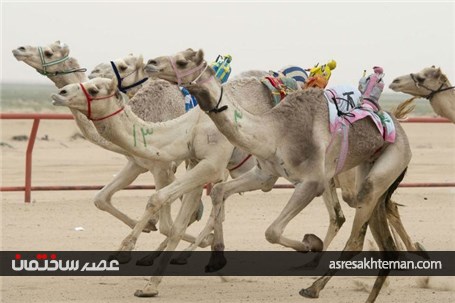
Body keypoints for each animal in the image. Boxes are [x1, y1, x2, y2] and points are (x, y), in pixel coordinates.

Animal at [149, 48, 416, 302]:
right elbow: (218, 191)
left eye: (183, 61)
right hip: (368, 170)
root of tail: (399, 126)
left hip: (385, 164)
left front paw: (310, 244)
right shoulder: (264, 174)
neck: (275, 131)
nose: (151, 63)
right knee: (383, 234)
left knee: (355, 233)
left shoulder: (311, 182)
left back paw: (313, 288)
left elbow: (272, 231)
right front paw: (216, 258)